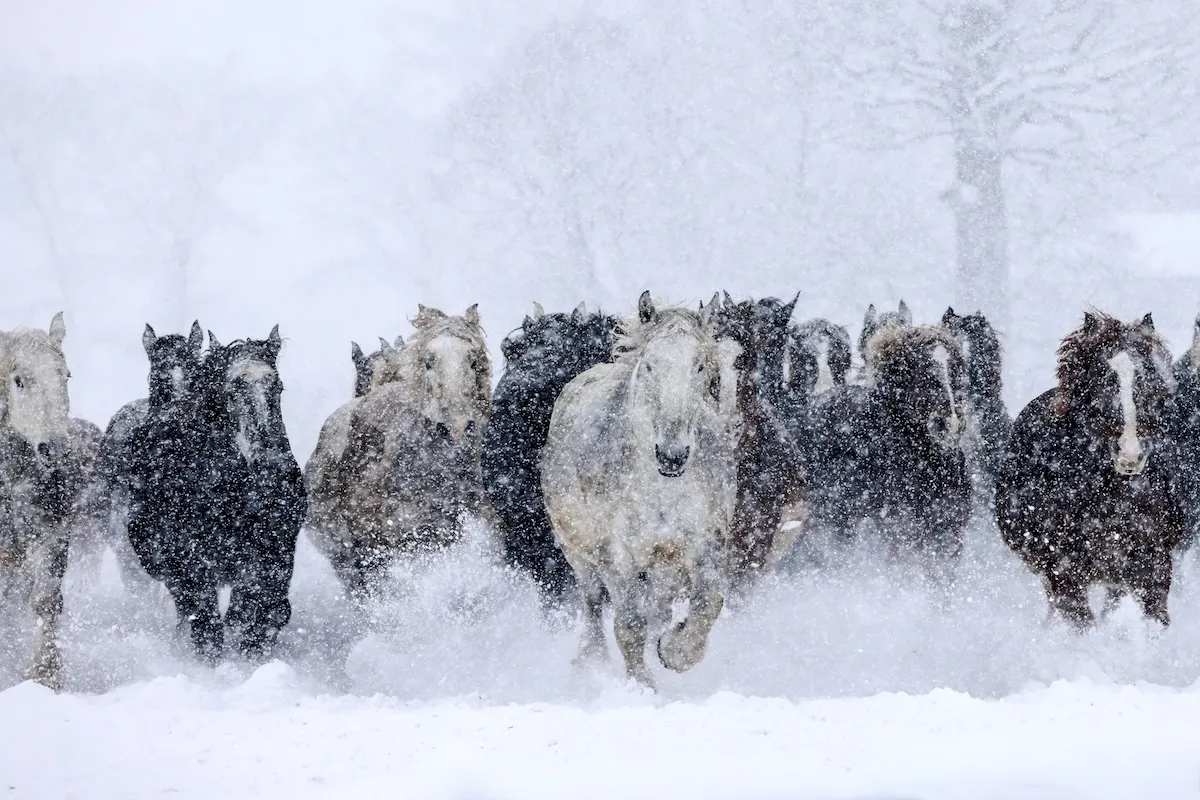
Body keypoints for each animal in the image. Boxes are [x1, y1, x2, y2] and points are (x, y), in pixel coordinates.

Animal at [125, 325, 305, 659]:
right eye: (232, 389)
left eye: (278, 387)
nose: (271, 461)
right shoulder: (191, 562)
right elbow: (208, 625)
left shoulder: (275, 555)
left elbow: (265, 612)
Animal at [542, 292, 735, 688]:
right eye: (649, 365)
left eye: (699, 366)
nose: (672, 454)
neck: (662, 487)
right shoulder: (616, 555)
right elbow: (629, 625)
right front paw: (642, 686)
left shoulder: (704, 542)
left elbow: (709, 603)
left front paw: (675, 652)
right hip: (577, 551)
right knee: (592, 601)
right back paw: (589, 661)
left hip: (664, 564)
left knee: (658, 608)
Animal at [996, 312, 1183, 628]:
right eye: (1102, 378)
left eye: (1148, 377)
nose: (1130, 453)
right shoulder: (1063, 570)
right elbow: (1081, 622)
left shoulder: (1151, 563)